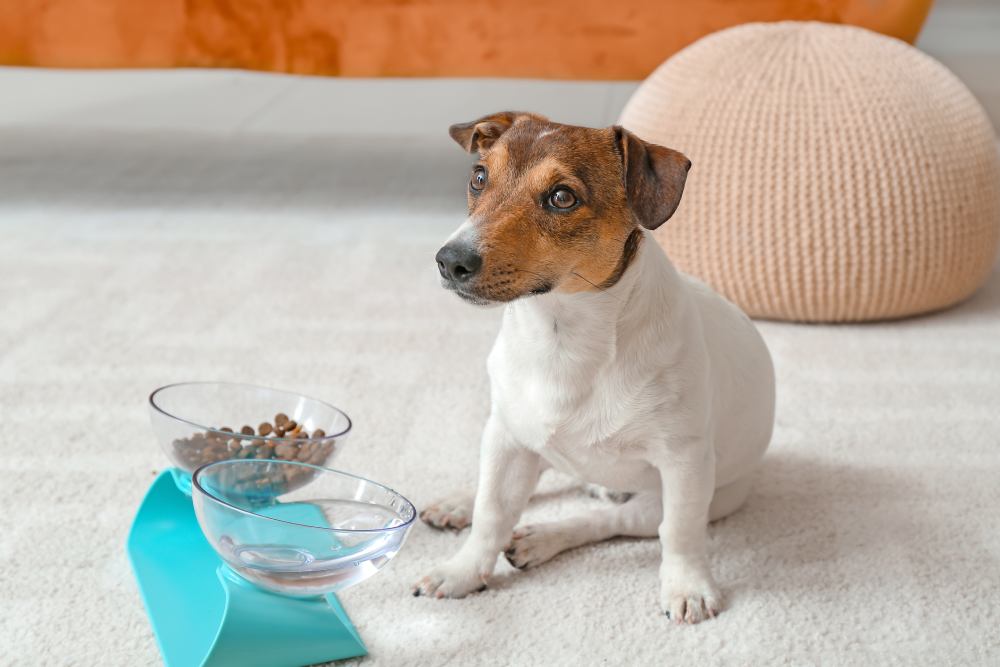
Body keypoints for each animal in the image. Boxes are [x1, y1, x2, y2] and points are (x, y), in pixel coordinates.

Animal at [410, 112, 776, 624]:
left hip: (703, 495)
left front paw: (687, 586)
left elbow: (681, 533)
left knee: (611, 519)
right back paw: (460, 502)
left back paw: (544, 536)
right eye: (479, 177)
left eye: (562, 197)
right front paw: (463, 570)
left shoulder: (683, 463)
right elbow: (492, 514)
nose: (450, 260)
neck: (561, 337)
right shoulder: (507, 438)